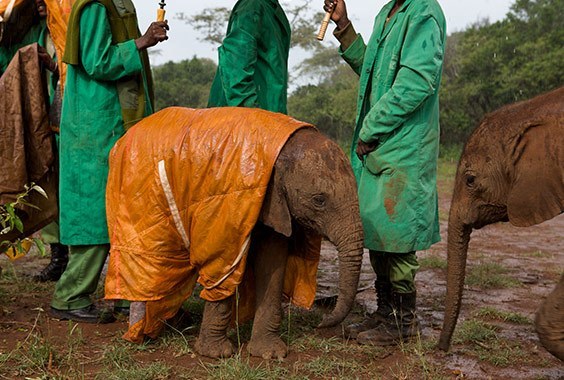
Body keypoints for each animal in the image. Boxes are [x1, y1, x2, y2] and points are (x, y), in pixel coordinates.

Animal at [103, 107, 364, 360]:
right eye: (319, 200)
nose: (320, 323)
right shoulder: (226, 204)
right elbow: (223, 263)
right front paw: (216, 354)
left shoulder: (274, 202)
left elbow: (273, 260)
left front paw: (270, 354)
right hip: (135, 198)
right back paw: (143, 331)